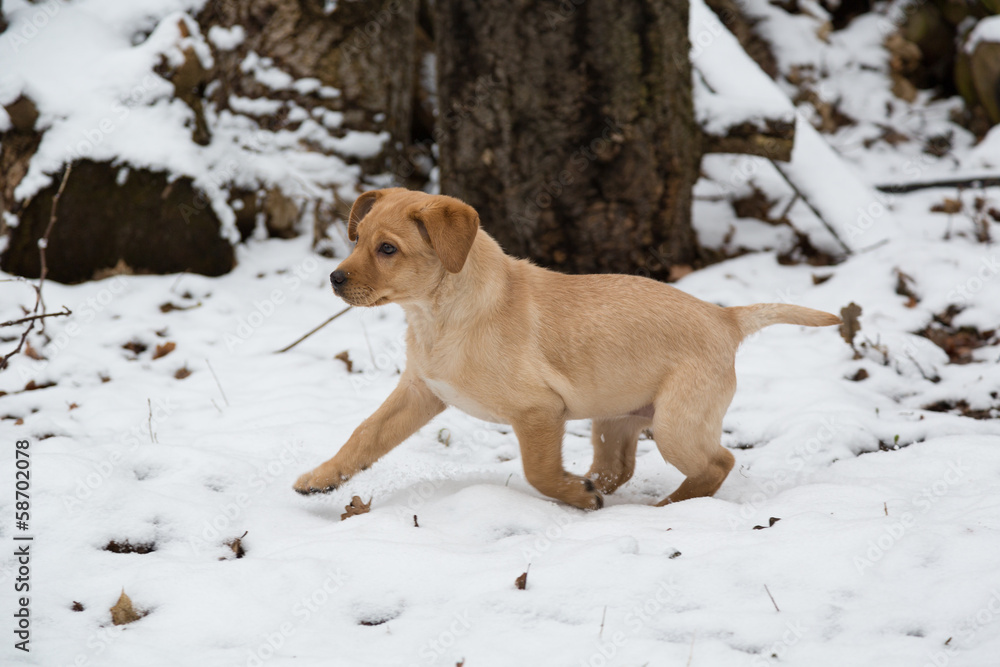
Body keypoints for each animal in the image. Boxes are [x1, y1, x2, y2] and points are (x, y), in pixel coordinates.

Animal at [294, 189, 836, 512]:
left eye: (387, 249)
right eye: (357, 239)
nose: (335, 278)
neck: (438, 316)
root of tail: (725, 317)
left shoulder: (538, 410)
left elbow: (538, 471)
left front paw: (571, 494)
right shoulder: (420, 391)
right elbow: (365, 435)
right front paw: (322, 477)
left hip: (676, 424)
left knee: (718, 463)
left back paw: (664, 506)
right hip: (616, 418)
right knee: (618, 467)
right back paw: (596, 486)